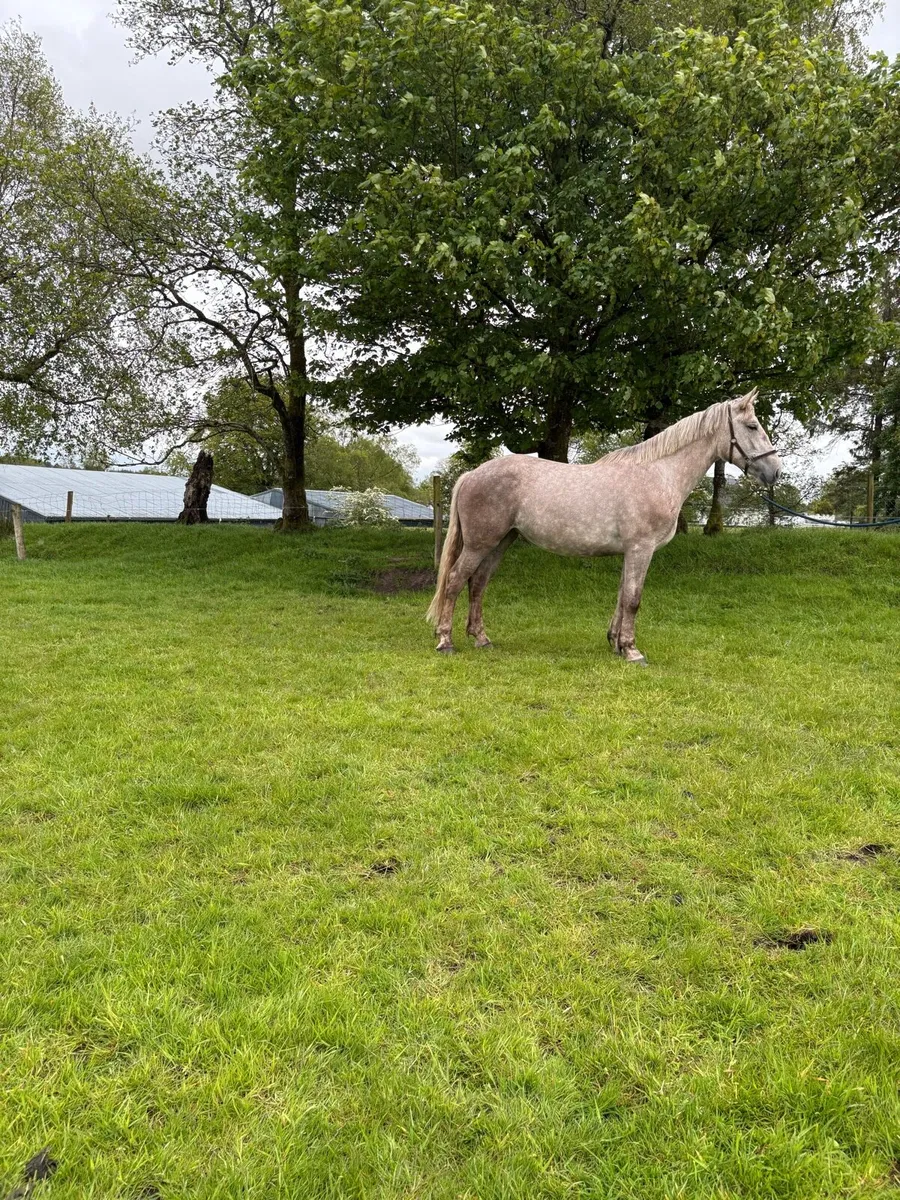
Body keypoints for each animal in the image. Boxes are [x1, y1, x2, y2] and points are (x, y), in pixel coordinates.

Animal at [426, 390, 781, 664]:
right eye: (752, 425)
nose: (775, 471)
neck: (658, 474)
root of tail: (471, 475)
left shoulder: (631, 552)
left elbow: (623, 596)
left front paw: (616, 643)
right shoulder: (641, 549)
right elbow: (634, 598)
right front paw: (633, 651)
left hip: (501, 541)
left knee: (477, 584)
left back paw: (481, 639)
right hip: (479, 544)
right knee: (455, 582)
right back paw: (445, 641)